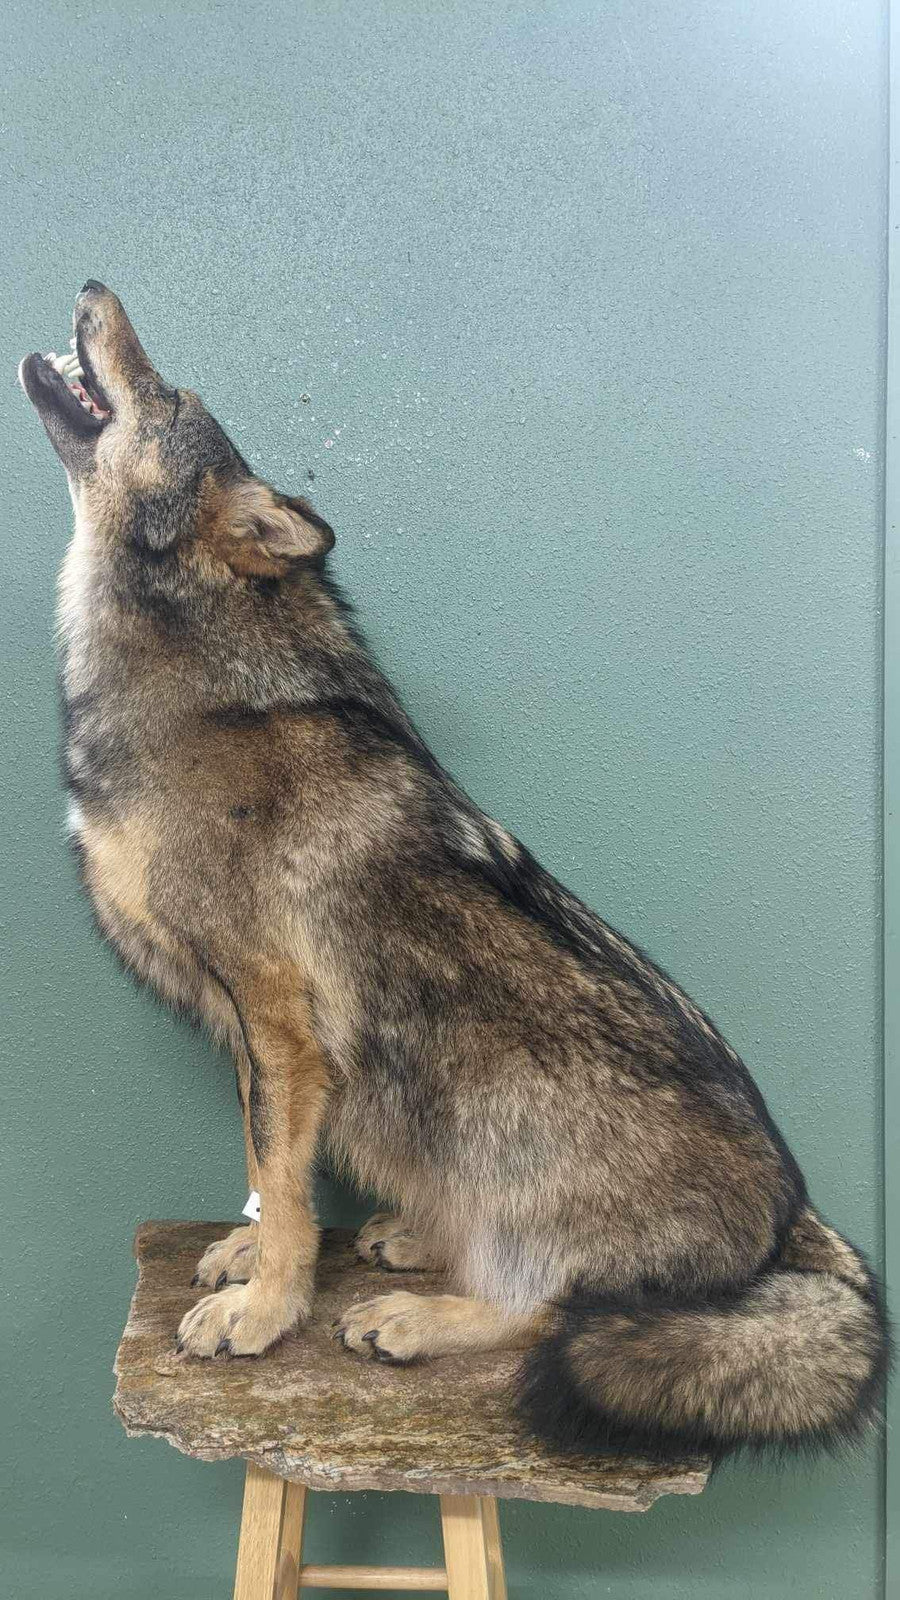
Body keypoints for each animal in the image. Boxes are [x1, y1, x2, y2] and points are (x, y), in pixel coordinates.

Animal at [19, 283, 889, 1464]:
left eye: (172, 394)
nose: (95, 289)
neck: (198, 686)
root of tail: (797, 1222)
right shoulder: (253, 1036)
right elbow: (268, 1171)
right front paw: (256, 1262)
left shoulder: (277, 1018)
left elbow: (281, 1177)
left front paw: (264, 1313)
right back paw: (409, 1246)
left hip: (504, 1114)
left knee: (554, 1312)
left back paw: (413, 1319)